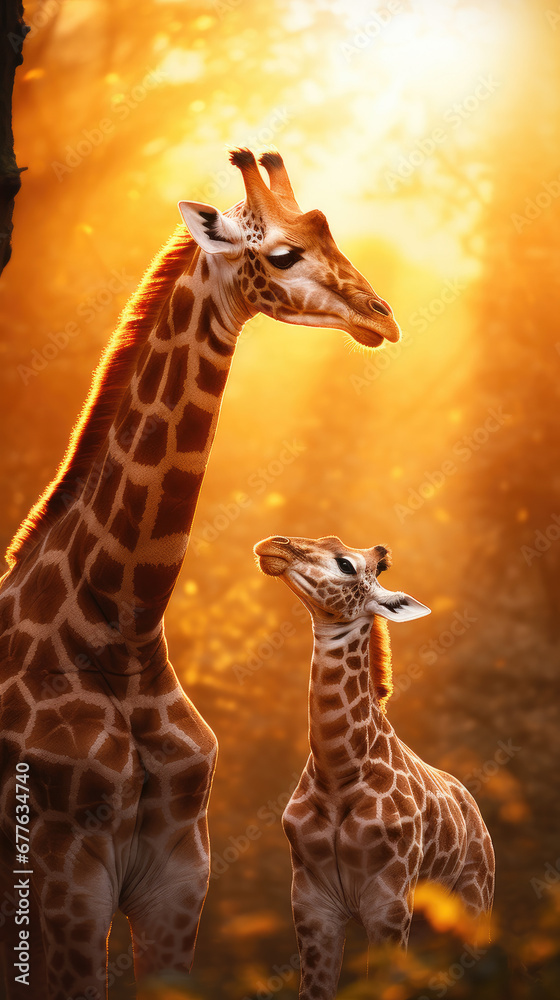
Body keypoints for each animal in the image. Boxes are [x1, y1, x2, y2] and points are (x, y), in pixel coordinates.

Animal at [254, 533, 495, 1000]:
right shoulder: (312, 907)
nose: (273, 545)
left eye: (346, 564)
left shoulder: (388, 905)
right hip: (430, 923)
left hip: (473, 902)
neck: (338, 773)